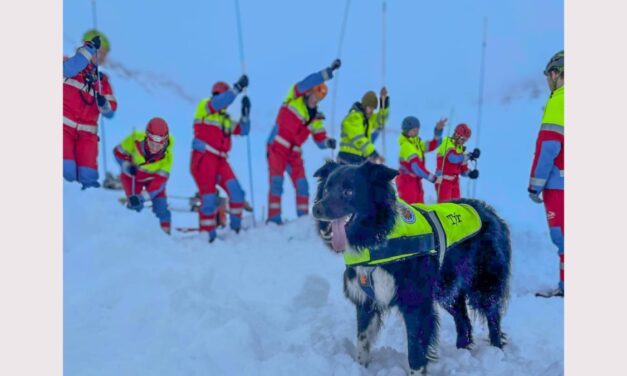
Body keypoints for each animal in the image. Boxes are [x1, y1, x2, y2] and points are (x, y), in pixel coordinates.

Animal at [312, 160, 512, 374]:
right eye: (326, 190)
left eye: (348, 191)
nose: (316, 209)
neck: (376, 239)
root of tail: (490, 212)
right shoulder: (366, 301)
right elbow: (362, 343)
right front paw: (360, 368)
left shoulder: (416, 304)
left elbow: (415, 352)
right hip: (446, 289)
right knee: (463, 320)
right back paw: (463, 350)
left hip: (483, 284)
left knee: (493, 317)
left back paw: (497, 350)